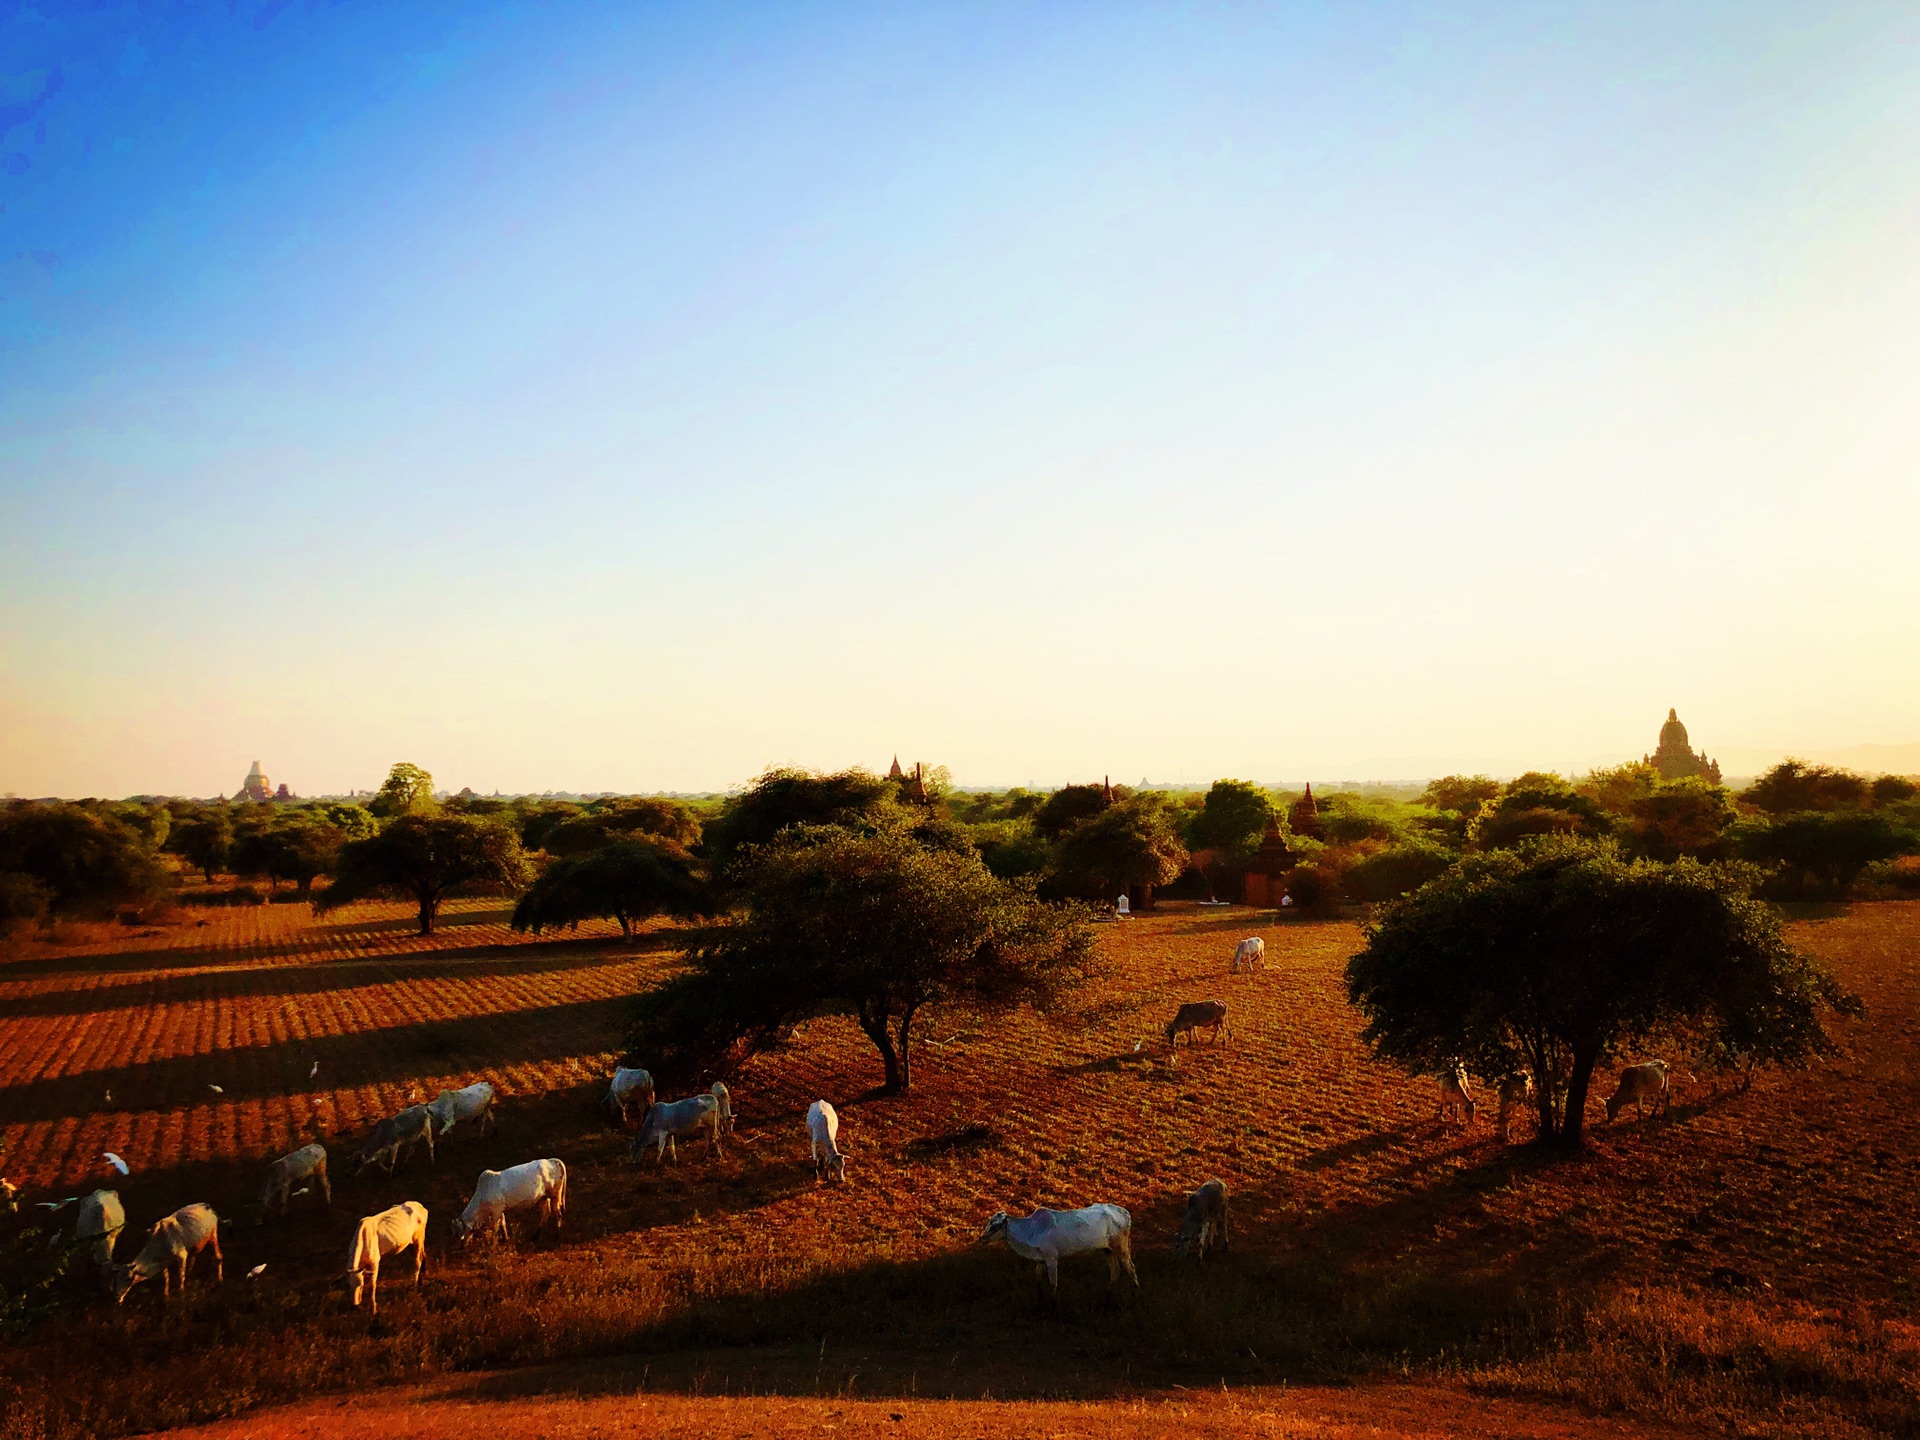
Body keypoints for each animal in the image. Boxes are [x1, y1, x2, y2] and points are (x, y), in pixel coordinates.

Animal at [983, 1198, 1128, 1305]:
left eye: (994, 1225)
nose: (981, 1238)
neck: (1031, 1230)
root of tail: (1123, 1211)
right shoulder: (1041, 1260)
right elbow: (1038, 1279)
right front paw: (1038, 1300)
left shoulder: (1051, 1259)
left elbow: (1053, 1283)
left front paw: (1053, 1306)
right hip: (1107, 1250)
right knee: (1115, 1271)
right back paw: (1105, 1299)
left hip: (1122, 1248)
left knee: (1130, 1268)